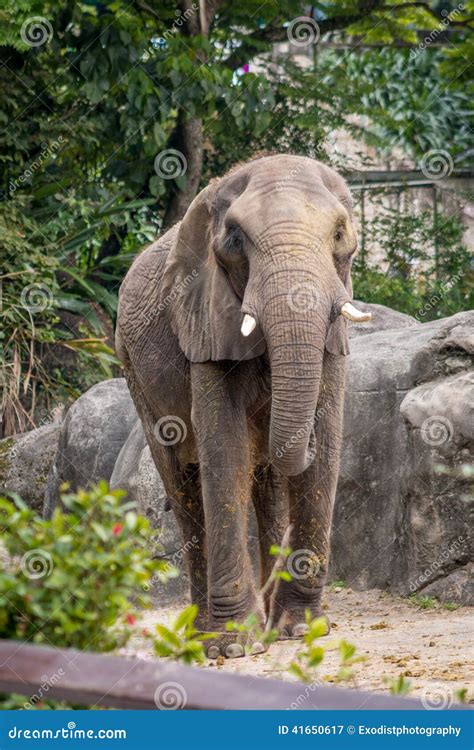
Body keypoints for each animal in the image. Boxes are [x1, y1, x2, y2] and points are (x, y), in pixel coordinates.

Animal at [115, 153, 370, 656]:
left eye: (339, 234)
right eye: (234, 239)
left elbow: (327, 438)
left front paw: (303, 630)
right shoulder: (203, 317)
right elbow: (224, 446)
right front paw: (232, 645)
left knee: (266, 483)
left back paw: (269, 623)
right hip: (132, 368)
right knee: (183, 486)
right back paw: (203, 632)